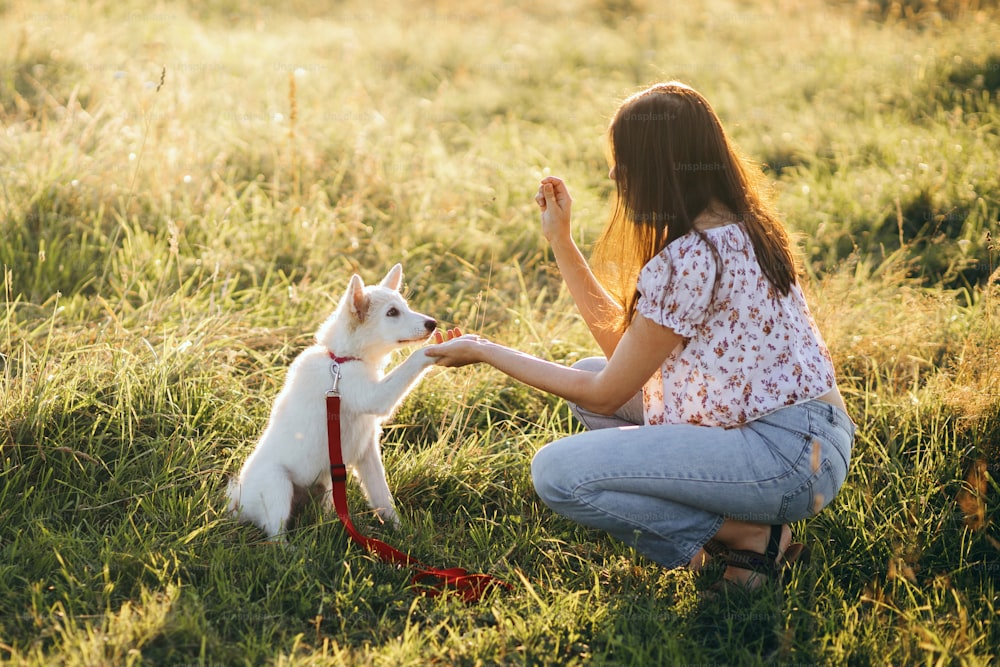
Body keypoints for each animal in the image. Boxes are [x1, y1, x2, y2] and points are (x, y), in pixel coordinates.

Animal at [231, 264, 442, 540]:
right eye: (392, 313)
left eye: (404, 307)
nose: (433, 323)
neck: (341, 360)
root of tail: (237, 503)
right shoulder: (374, 396)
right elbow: (412, 362)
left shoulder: (367, 451)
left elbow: (382, 496)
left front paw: (402, 532)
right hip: (278, 484)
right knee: (275, 535)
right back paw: (291, 547)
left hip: (327, 483)